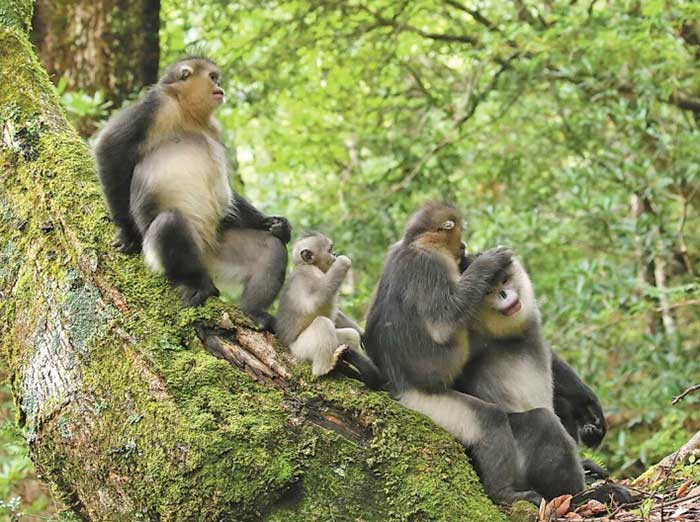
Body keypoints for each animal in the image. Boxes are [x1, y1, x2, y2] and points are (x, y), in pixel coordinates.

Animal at [93, 57, 290, 326]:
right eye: (213, 77)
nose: (220, 88)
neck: (189, 115)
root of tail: (202, 256)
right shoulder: (157, 106)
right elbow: (109, 146)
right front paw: (127, 231)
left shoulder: (214, 129)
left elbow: (229, 193)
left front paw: (274, 223)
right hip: (162, 251)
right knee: (169, 223)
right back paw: (197, 284)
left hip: (216, 250)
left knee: (272, 248)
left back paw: (254, 313)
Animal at [276, 232, 383, 389]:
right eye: (330, 250)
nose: (335, 254)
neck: (309, 265)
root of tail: (287, 345)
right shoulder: (307, 274)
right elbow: (314, 302)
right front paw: (343, 262)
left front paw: (362, 333)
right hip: (300, 349)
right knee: (322, 324)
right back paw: (324, 368)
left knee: (350, 335)